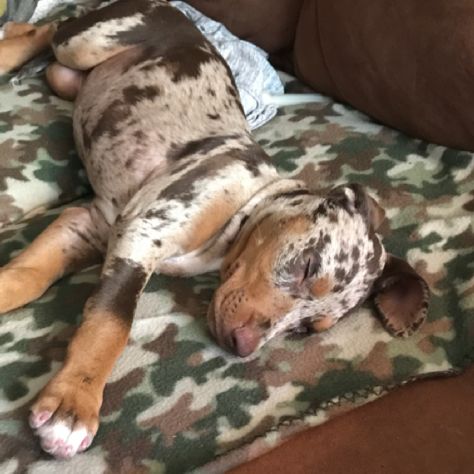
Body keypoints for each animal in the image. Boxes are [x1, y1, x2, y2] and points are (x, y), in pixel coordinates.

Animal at [0, 0, 430, 460]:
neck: (242, 209)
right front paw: (72, 406)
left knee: (46, 50)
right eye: (308, 265)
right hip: (90, 41)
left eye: (306, 329)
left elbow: (27, 276)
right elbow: (112, 320)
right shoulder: (142, 233)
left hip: (68, 79)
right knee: (51, 28)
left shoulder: (91, 223)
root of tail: (179, 13)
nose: (242, 346)